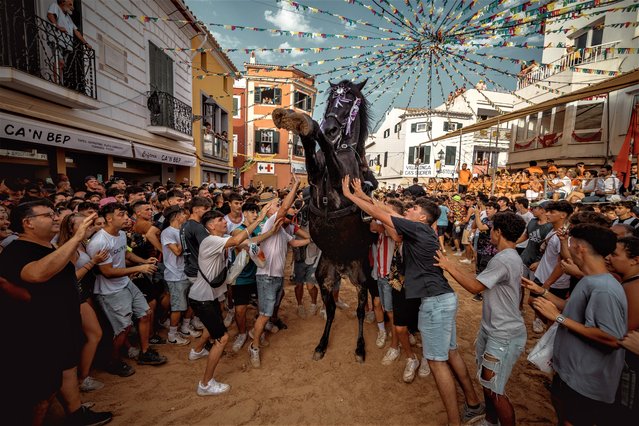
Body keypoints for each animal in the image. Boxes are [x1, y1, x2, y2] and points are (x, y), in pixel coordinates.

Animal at [272, 78, 378, 362]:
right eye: (332, 100)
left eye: (350, 101)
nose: (330, 129)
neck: (343, 149)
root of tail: (342, 268)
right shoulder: (315, 173)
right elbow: (312, 159)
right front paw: (299, 122)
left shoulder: (341, 183)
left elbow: (328, 154)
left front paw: (310, 126)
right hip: (324, 277)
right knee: (330, 309)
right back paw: (321, 344)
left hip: (361, 276)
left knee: (361, 309)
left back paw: (361, 347)